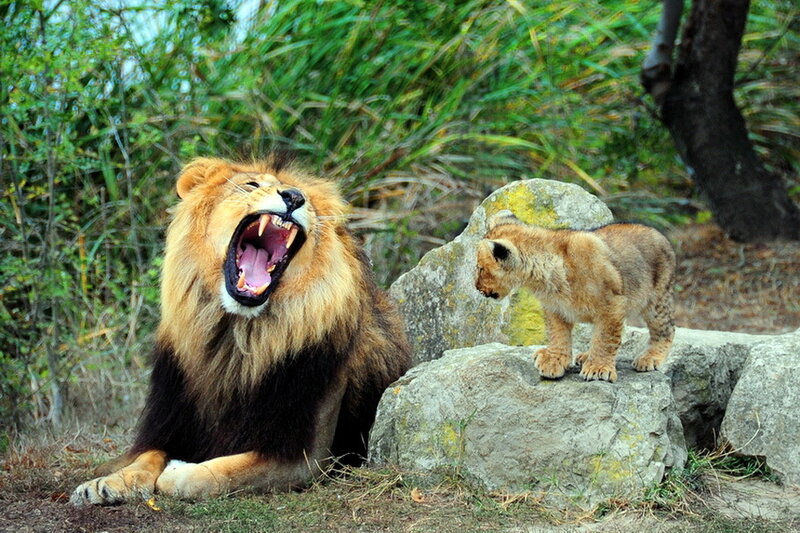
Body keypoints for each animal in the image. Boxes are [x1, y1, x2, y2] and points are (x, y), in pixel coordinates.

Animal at [71, 156, 411, 505]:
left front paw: (177, 472)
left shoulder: (307, 456)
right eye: (251, 185)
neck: (235, 335)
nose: (294, 197)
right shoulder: (171, 423)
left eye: (307, 200)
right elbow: (148, 456)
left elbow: (218, 474)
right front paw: (105, 483)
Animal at [475, 211, 675, 383]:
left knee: (666, 329)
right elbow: (558, 335)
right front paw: (554, 360)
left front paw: (598, 368)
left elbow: (606, 337)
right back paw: (584, 356)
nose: (477, 288)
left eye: (481, 268)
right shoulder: (555, 308)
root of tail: (660, 235)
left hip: (656, 301)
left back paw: (650, 357)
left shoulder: (612, 304)